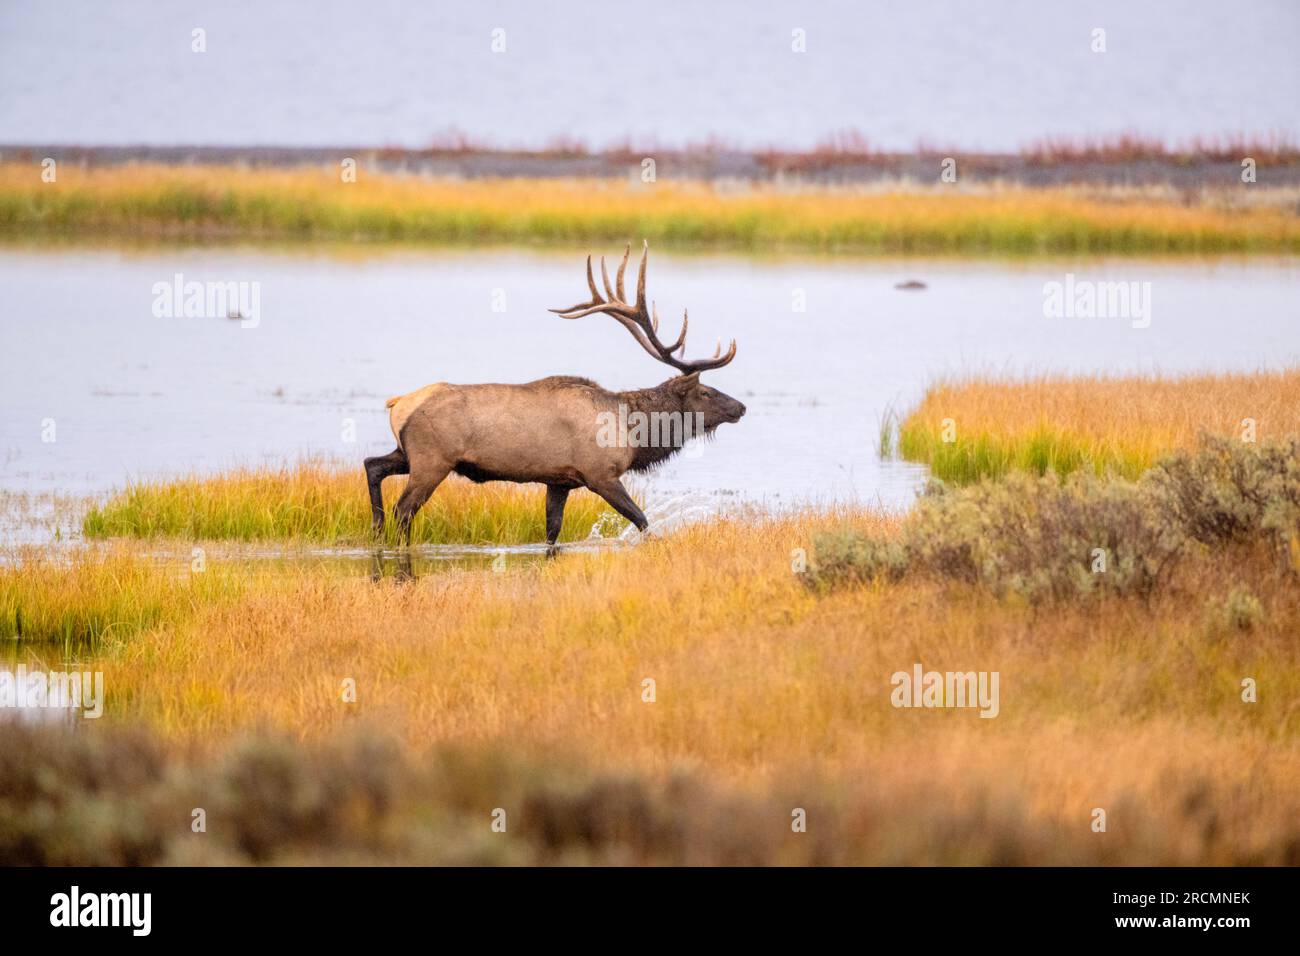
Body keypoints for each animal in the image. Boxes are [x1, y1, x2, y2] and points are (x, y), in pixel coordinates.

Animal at [366, 239, 748, 548]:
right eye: (705, 391)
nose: (741, 407)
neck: (633, 431)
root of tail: (397, 404)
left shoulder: (559, 481)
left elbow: (552, 532)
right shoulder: (601, 474)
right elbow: (642, 520)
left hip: (409, 454)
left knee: (373, 466)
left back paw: (376, 528)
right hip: (432, 460)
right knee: (404, 510)